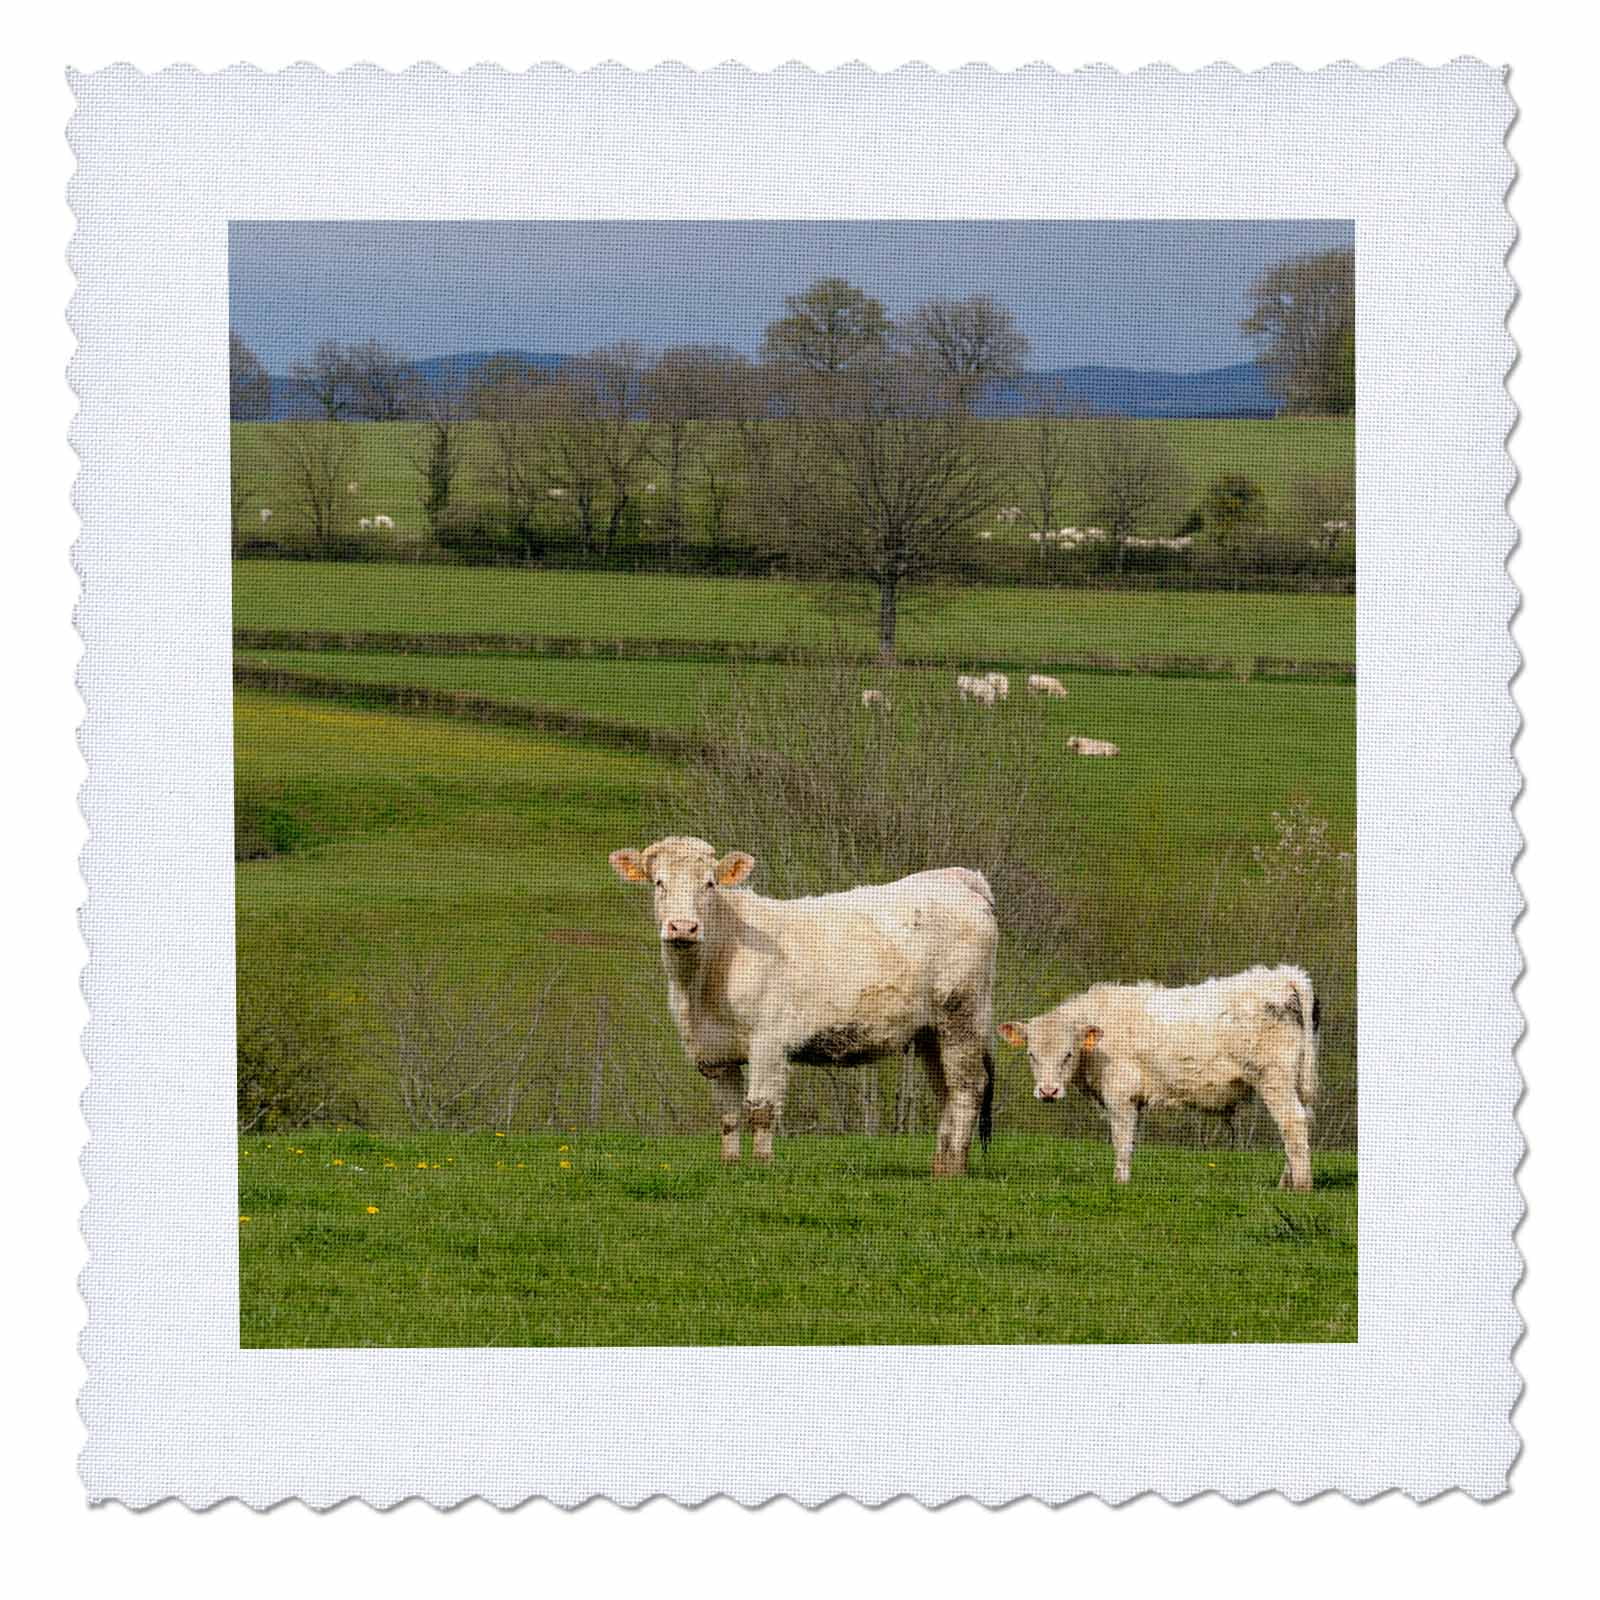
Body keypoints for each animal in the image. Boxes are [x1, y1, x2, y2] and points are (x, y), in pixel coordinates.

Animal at [609, 837, 998, 1176]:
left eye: (709, 884)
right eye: (659, 882)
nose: (683, 927)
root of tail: (956, 877)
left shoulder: (768, 1040)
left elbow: (760, 1109)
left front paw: (762, 1166)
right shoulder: (714, 1052)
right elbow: (729, 1114)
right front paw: (731, 1165)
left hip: (962, 1014)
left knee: (967, 1087)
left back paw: (953, 1169)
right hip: (931, 1031)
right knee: (946, 1090)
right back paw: (940, 1165)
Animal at [998, 964, 1320, 1190]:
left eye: (1068, 1053)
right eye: (1031, 1054)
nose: (1048, 1092)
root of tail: (1283, 975)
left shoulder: (1120, 1094)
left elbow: (1121, 1139)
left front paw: (1120, 1183)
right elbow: (1131, 1140)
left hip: (1274, 1077)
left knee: (1292, 1122)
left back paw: (1301, 1186)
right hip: (1294, 1080)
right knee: (1300, 1122)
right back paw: (1286, 1182)